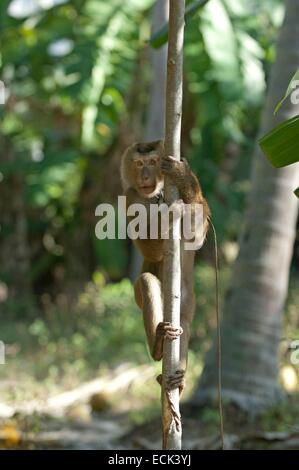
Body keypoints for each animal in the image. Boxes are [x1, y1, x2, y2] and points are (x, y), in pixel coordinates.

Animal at [120, 140, 210, 392]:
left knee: (185, 325)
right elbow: (150, 251)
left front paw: (183, 175)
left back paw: (179, 379)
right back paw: (158, 345)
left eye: (152, 162)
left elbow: (198, 232)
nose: (145, 175)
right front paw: (170, 214)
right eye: (139, 164)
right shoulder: (130, 196)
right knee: (146, 282)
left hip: (188, 302)